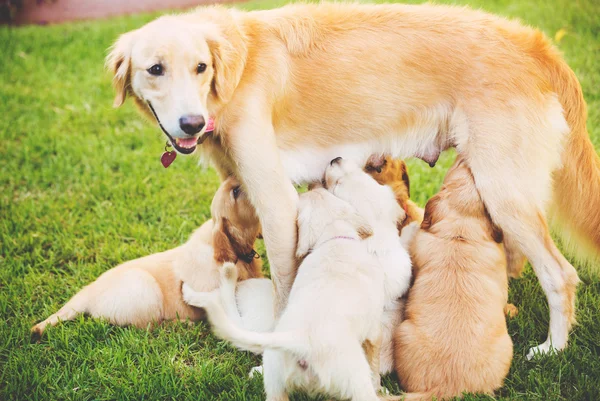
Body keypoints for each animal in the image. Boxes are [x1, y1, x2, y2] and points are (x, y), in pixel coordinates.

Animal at [29, 177, 260, 338]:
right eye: (236, 192)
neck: (238, 253)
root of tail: (87, 293)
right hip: (144, 288)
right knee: (148, 327)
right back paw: (181, 325)